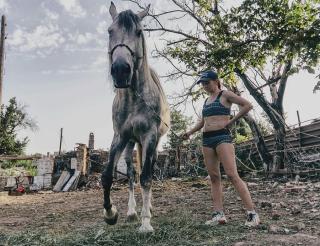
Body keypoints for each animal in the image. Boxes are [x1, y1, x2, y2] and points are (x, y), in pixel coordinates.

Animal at [102, 2, 170, 233]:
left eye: (139, 32)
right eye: (110, 31)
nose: (120, 70)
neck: (134, 99)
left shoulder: (149, 137)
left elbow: (147, 178)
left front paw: (146, 222)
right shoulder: (119, 136)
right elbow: (108, 176)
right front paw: (110, 214)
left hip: (152, 144)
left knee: (147, 171)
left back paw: (147, 209)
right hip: (131, 143)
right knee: (132, 173)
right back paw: (132, 212)